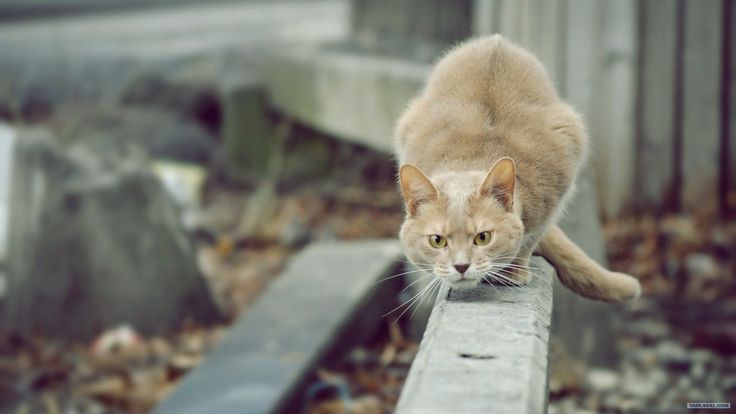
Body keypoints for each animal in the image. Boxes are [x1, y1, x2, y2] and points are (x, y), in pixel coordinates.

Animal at [394, 34, 640, 300]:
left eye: (483, 237)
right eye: (437, 240)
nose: (461, 266)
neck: (473, 155)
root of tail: (496, 40)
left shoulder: (556, 193)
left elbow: (530, 238)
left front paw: (514, 271)